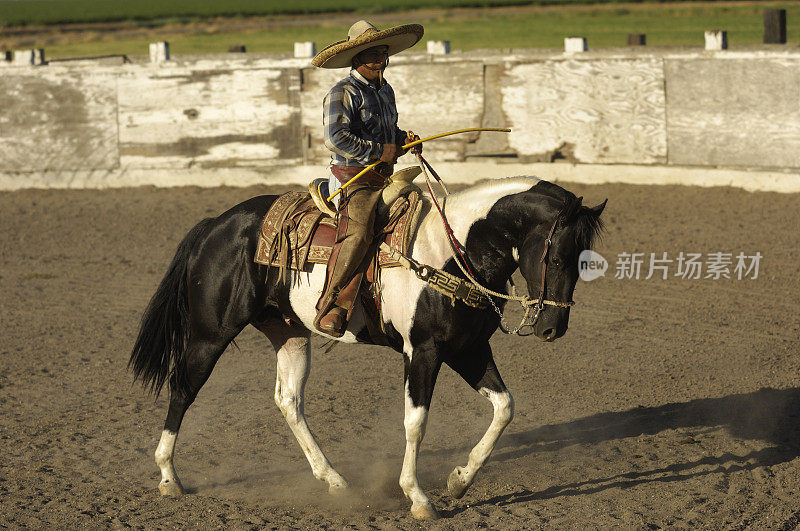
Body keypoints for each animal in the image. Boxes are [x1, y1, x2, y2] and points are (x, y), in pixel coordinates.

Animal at [131, 177, 604, 520]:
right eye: (557, 257)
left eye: (584, 259)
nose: (553, 328)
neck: (453, 252)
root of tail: (215, 224)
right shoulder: (424, 351)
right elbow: (416, 422)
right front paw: (418, 498)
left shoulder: (468, 349)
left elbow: (504, 407)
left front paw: (460, 480)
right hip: (209, 334)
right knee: (183, 390)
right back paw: (169, 478)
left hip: (288, 332)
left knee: (289, 400)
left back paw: (334, 481)